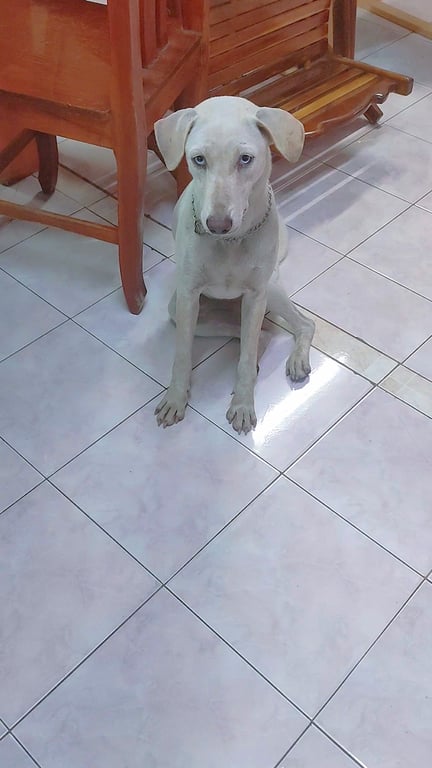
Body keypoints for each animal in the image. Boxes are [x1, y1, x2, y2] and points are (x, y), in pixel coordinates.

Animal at [154, 96, 315, 434]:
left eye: (245, 159)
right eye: (199, 159)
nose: (217, 225)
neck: (230, 243)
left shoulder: (255, 296)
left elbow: (244, 360)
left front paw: (242, 405)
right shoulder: (188, 297)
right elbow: (182, 354)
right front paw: (175, 398)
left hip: (271, 290)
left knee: (301, 326)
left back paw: (296, 360)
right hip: (181, 309)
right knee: (251, 334)